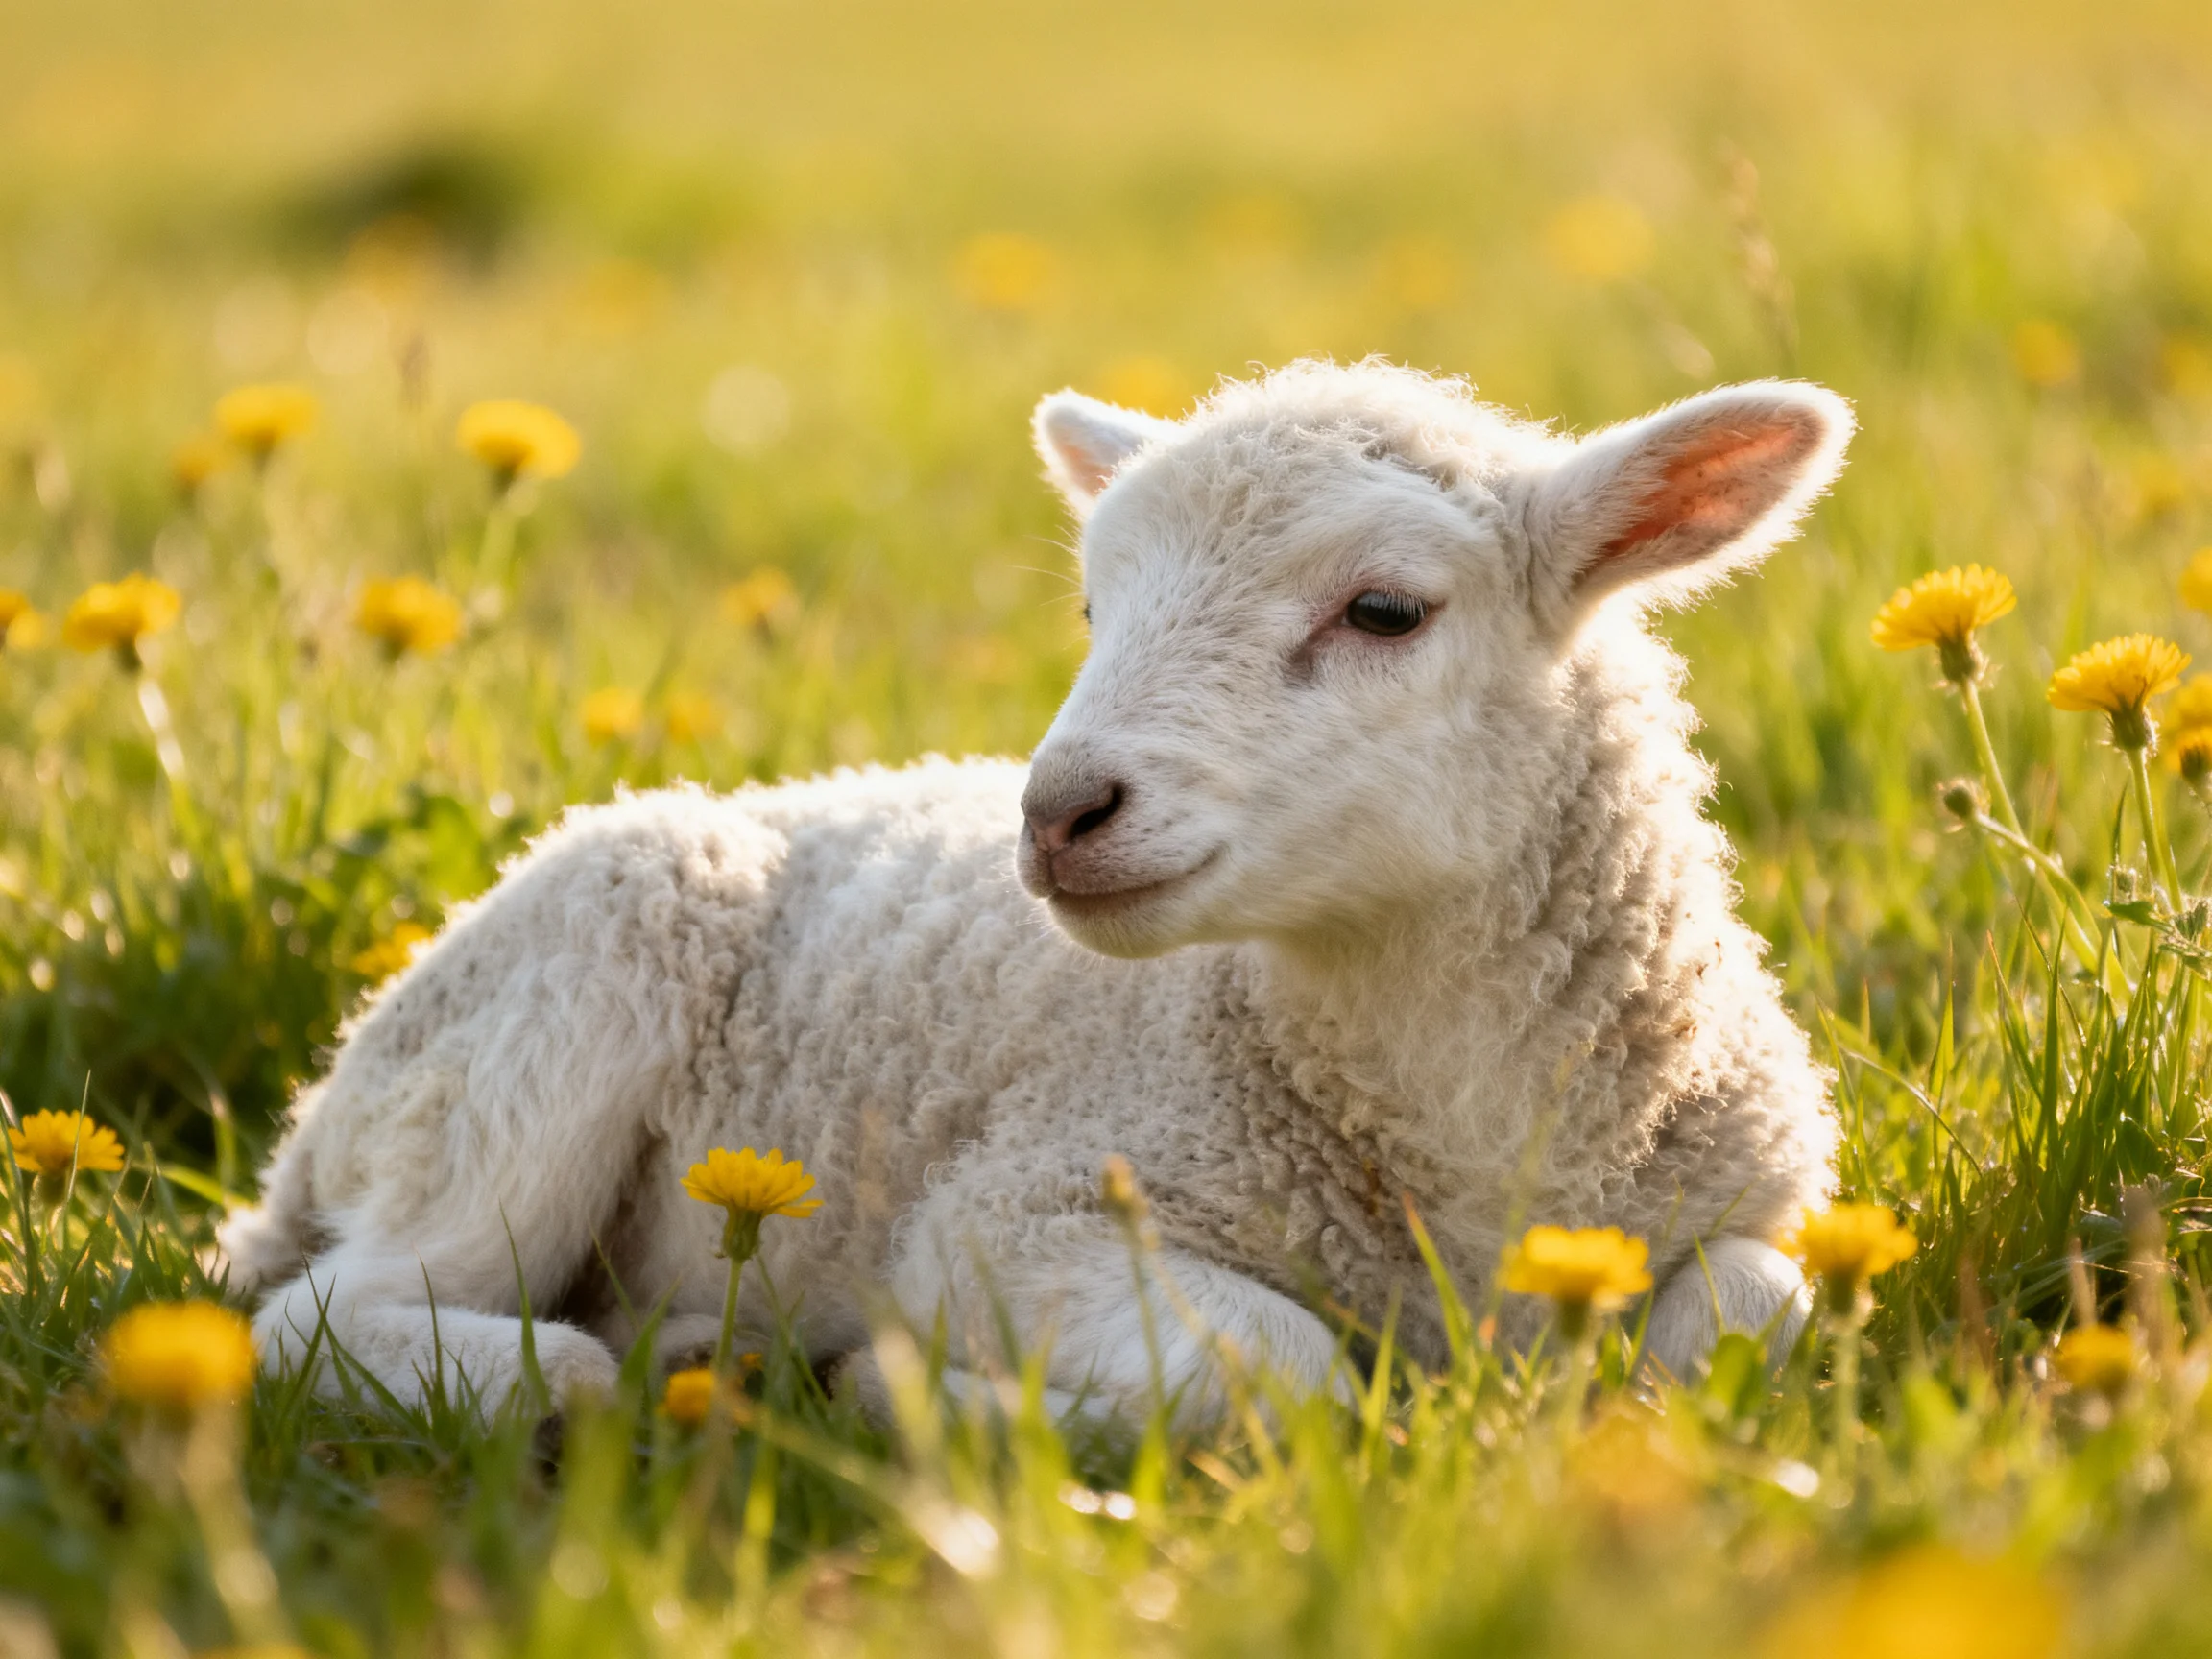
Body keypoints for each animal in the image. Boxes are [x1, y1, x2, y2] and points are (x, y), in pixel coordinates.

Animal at [219, 360, 1850, 1424]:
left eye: (1386, 608)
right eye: (1090, 604)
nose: (1058, 812)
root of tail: (316, 1121)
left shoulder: (1753, 1209)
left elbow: (1751, 1315)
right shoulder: (1010, 1220)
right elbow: (1291, 1377)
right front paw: (909, 1394)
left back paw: (694, 1354)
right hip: (539, 1027)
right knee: (328, 1312)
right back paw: (569, 1379)